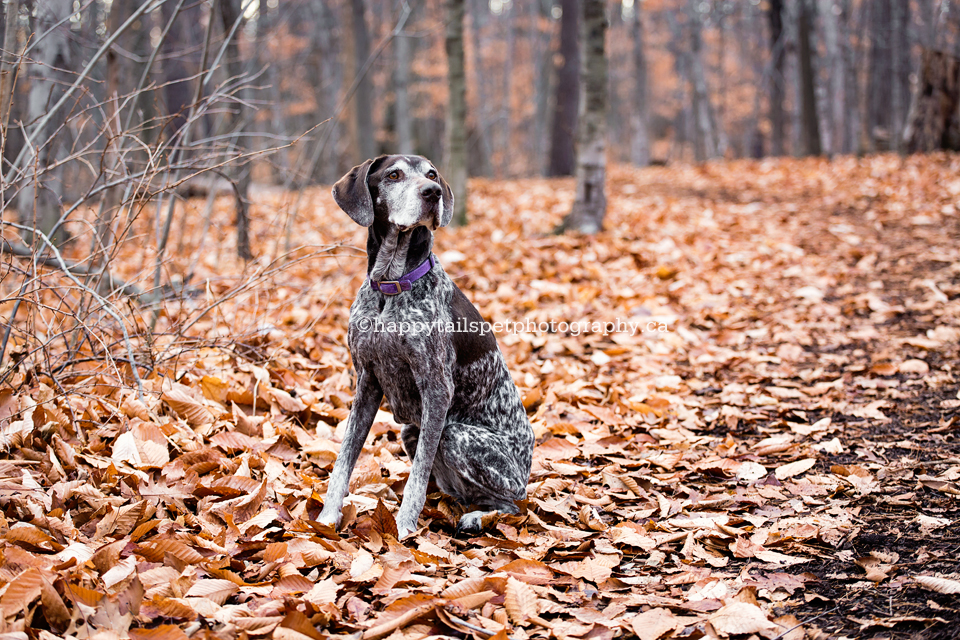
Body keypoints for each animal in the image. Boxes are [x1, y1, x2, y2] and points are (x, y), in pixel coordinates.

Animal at [318, 155, 536, 540]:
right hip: (411, 430)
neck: (391, 286)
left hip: (458, 436)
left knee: (512, 505)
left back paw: (475, 518)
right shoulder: (366, 382)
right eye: (393, 175)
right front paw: (327, 519)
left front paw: (404, 527)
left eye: (431, 174)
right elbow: (343, 461)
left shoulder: (436, 388)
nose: (433, 192)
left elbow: (417, 478)